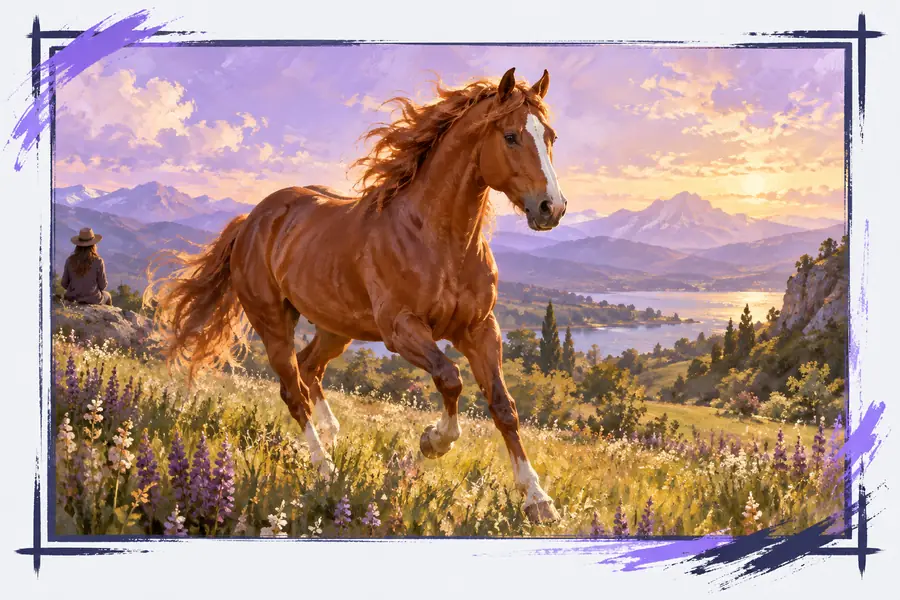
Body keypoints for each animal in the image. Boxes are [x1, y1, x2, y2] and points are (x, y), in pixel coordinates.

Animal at [147, 67, 568, 523]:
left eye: (550, 136)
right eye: (510, 136)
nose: (552, 208)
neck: (438, 240)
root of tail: (251, 221)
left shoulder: (480, 328)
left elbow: (503, 407)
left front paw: (539, 500)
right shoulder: (400, 329)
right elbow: (449, 378)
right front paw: (433, 441)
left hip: (336, 328)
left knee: (309, 368)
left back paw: (334, 436)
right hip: (273, 323)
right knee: (293, 389)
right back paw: (325, 468)